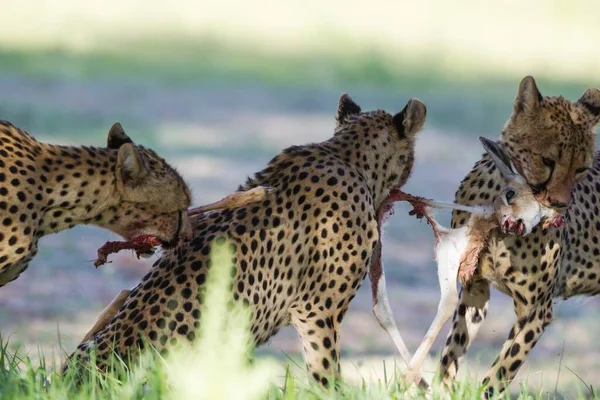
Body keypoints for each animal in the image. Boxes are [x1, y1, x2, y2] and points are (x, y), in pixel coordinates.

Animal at [436, 76, 600, 396]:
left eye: (581, 169)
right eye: (547, 160)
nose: (559, 204)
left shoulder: (536, 311)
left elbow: (500, 372)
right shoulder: (474, 289)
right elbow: (451, 354)